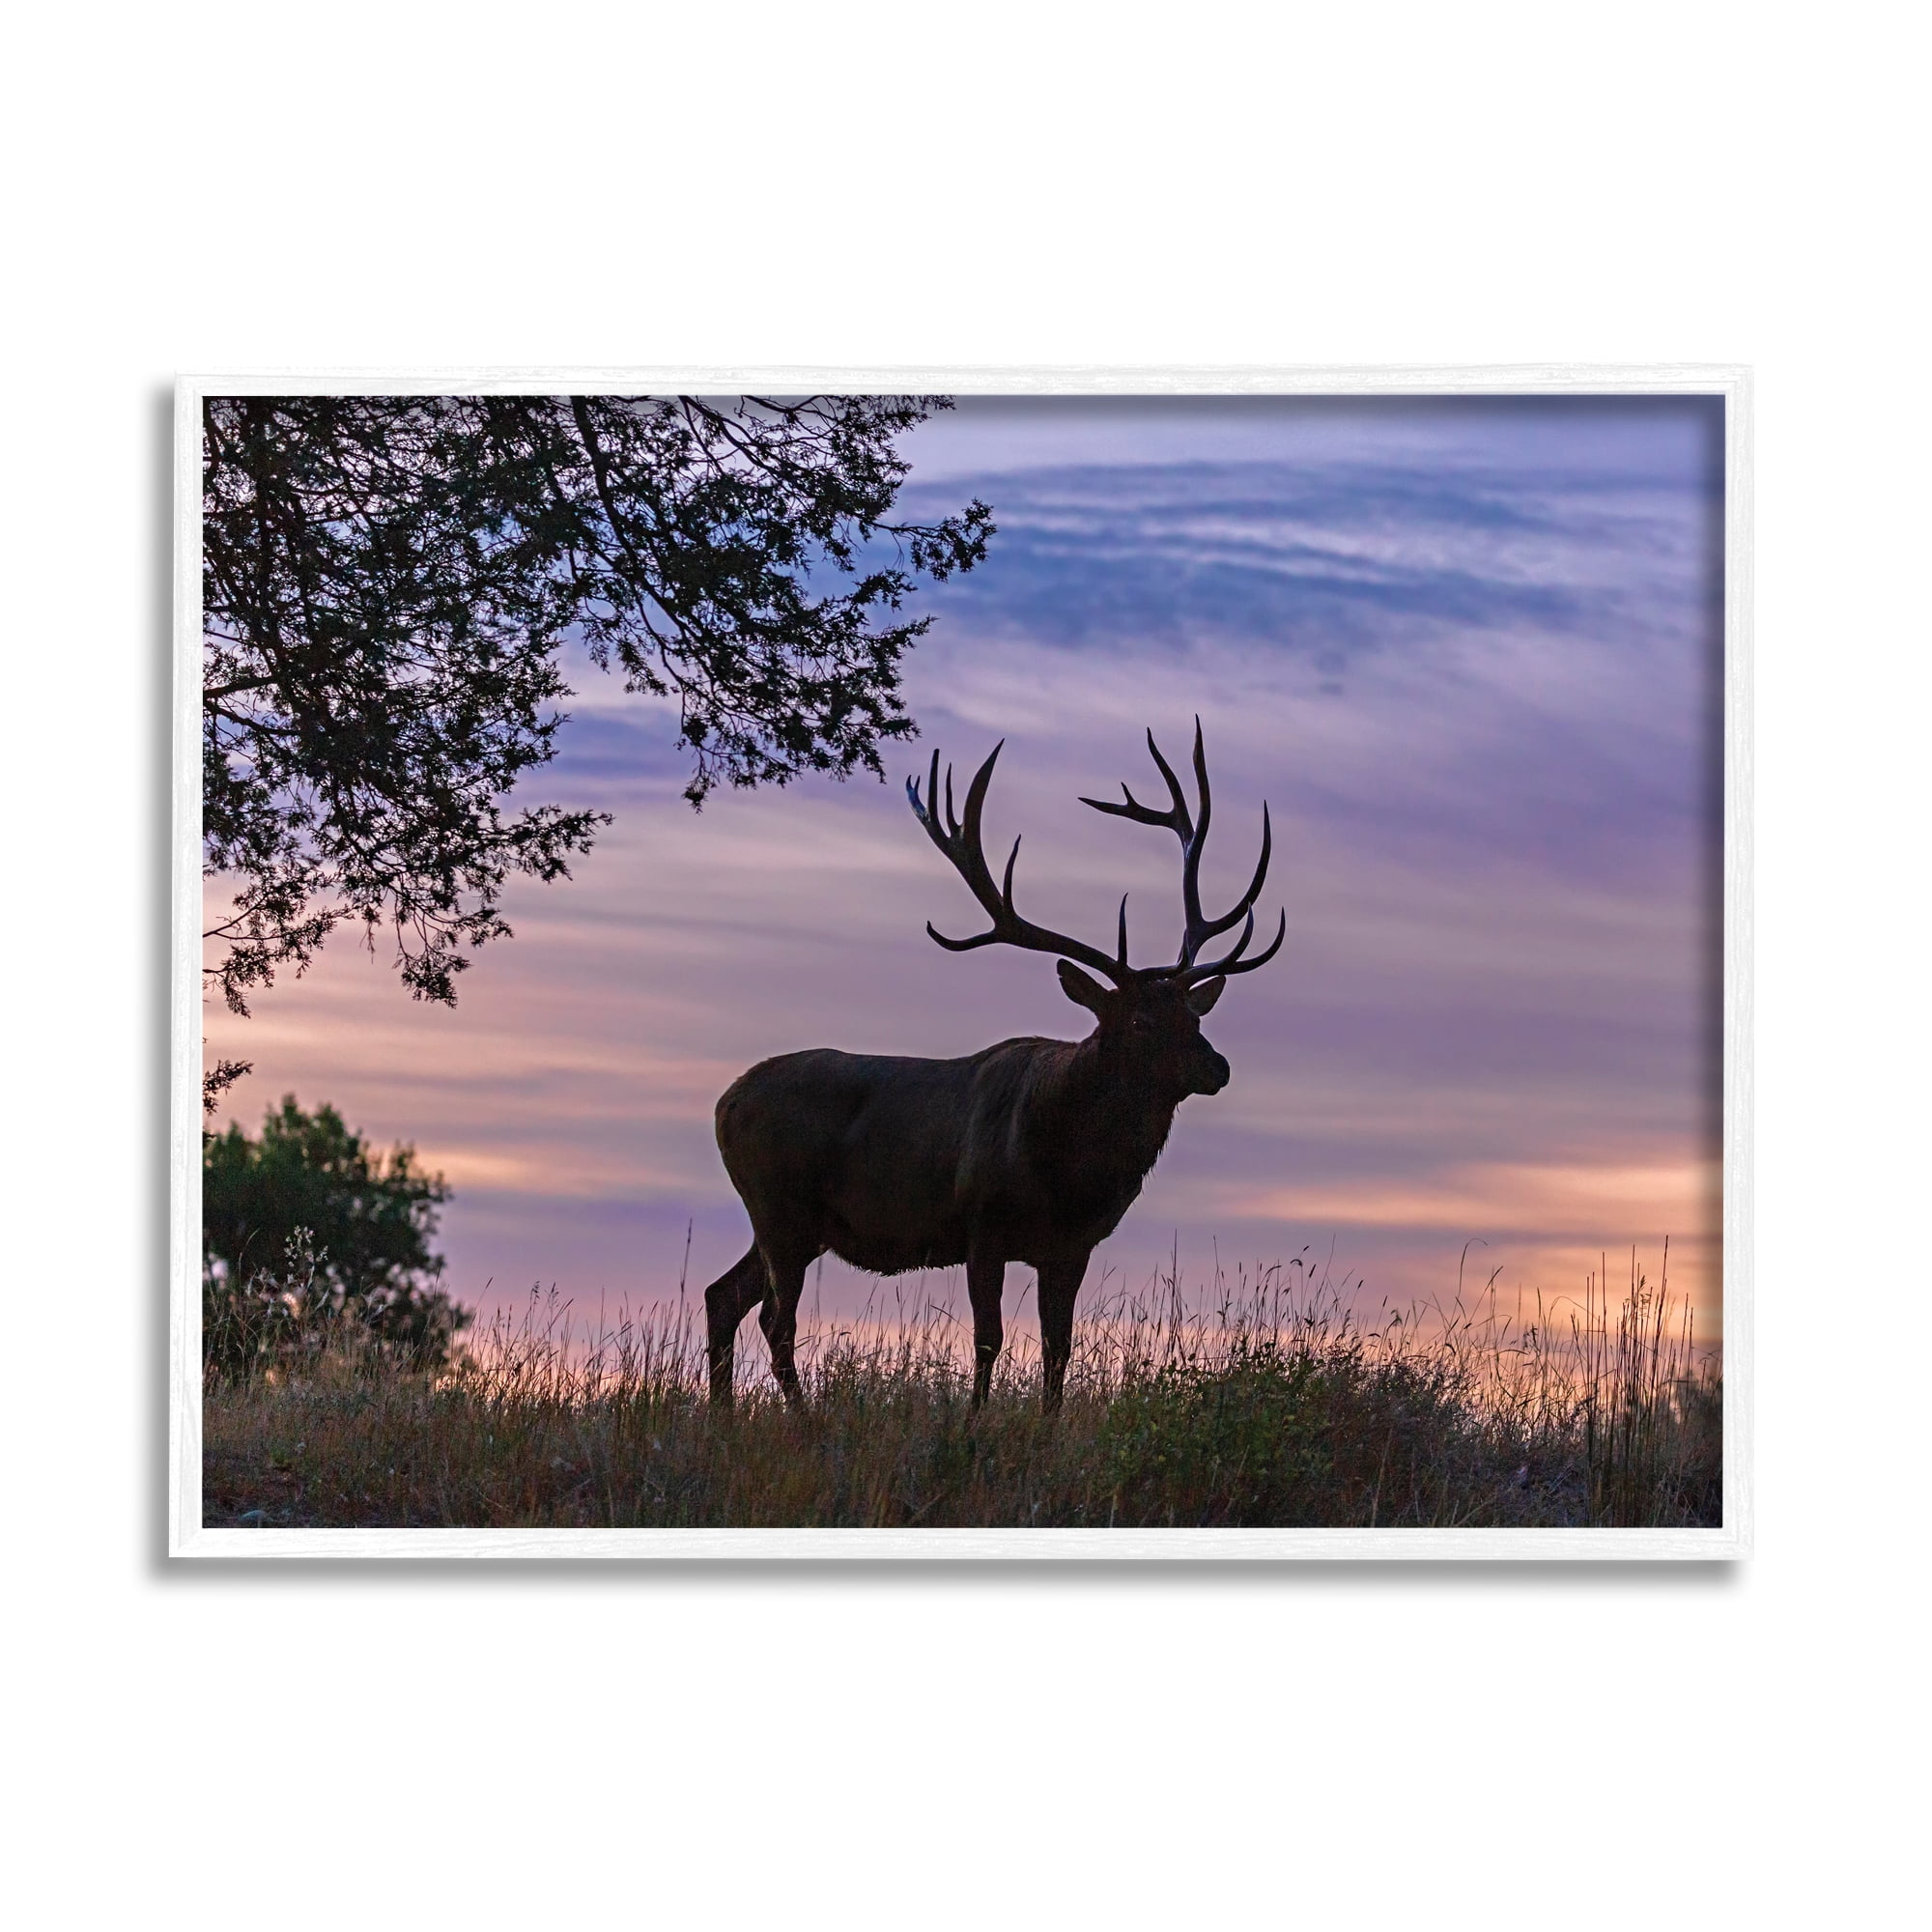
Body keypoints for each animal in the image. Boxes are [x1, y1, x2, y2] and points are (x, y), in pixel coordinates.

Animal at [701, 721, 1284, 1413]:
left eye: (1194, 1017)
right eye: (1142, 1022)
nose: (1218, 1067)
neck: (1069, 1172)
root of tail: (723, 1103)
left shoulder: (1071, 1246)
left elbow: (1059, 1348)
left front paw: (1047, 1427)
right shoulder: (981, 1226)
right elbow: (988, 1339)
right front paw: (973, 1424)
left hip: (795, 1222)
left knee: (723, 1296)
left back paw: (724, 1414)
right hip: (778, 1205)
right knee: (774, 1317)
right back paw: (803, 1417)